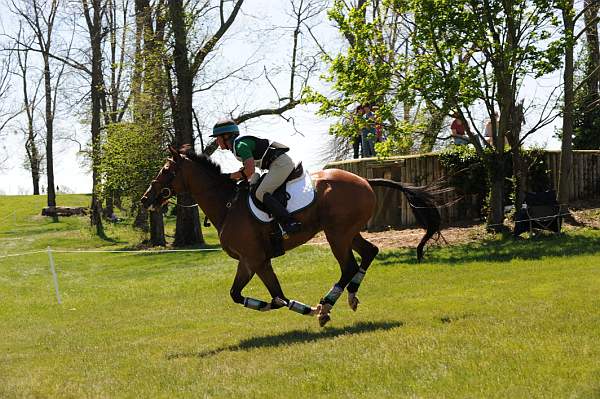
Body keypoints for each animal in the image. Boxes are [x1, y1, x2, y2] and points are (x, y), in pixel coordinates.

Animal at [141, 145, 440, 326]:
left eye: (166, 171)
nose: (146, 199)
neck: (227, 204)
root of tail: (365, 180)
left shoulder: (255, 260)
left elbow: (268, 297)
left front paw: (308, 309)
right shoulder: (254, 262)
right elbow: (255, 295)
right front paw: (278, 306)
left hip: (337, 234)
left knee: (348, 266)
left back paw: (326, 305)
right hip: (348, 232)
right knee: (369, 253)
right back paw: (349, 297)